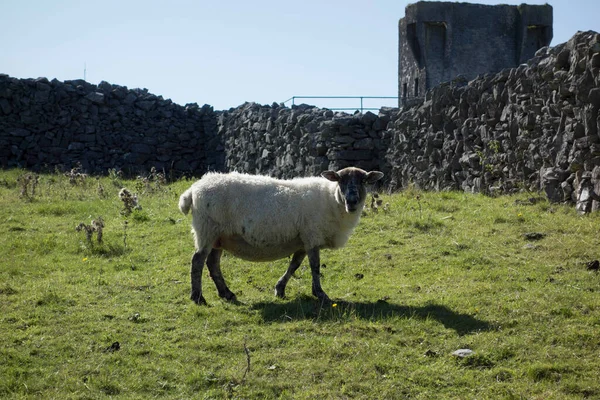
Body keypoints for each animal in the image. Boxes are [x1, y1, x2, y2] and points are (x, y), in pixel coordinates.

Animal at [178, 167, 384, 304]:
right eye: (340, 180)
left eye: (363, 181)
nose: (352, 201)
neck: (332, 200)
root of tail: (194, 189)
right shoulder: (312, 236)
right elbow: (315, 267)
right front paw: (320, 293)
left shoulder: (303, 240)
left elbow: (294, 265)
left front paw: (280, 289)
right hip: (206, 230)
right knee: (197, 261)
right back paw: (198, 297)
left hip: (219, 237)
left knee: (213, 264)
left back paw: (226, 294)